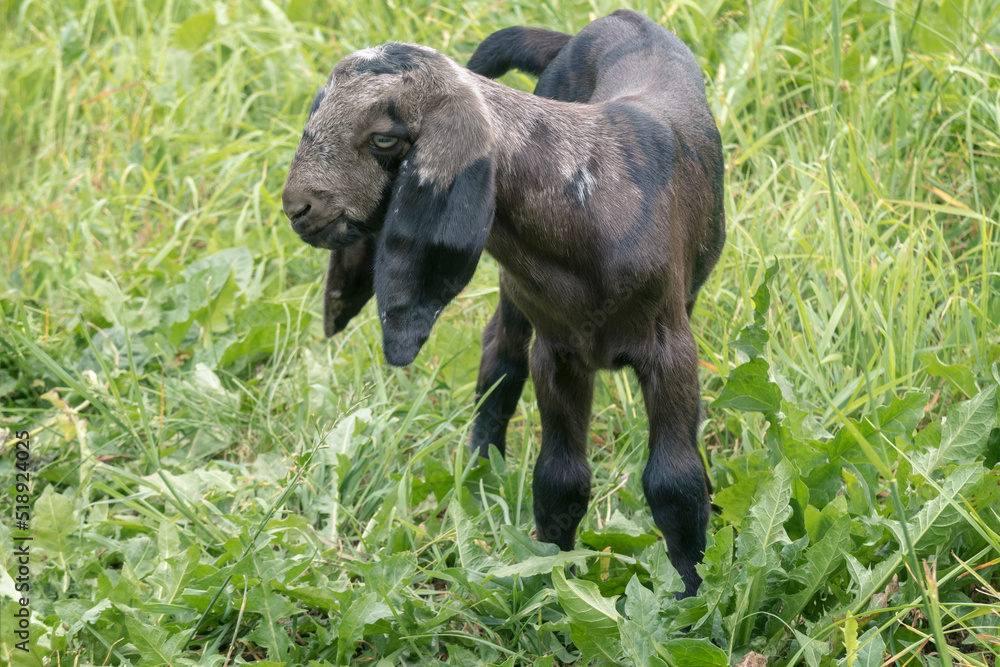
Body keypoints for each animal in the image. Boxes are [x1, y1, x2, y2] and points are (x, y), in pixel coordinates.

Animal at [281, 9, 725, 598]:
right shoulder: (557, 351)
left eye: (383, 138)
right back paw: (480, 471)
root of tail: (612, 20)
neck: (587, 202)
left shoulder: (669, 346)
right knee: (501, 351)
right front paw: (551, 580)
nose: (297, 207)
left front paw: (693, 597)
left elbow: (674, 481)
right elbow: (560, 479)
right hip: (519, 297)